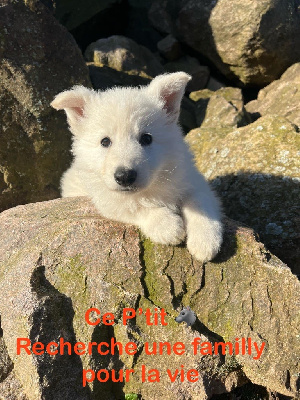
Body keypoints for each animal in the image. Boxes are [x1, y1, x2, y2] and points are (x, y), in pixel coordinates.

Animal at [50, 72, 221, 262]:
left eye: (146, 138)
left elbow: (200, 201)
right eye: (105, 141)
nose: (125, 176)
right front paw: (169, 227)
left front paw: (205, 243)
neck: (153, 186)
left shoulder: (189, 177)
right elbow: (133, 206)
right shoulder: (104, 196)